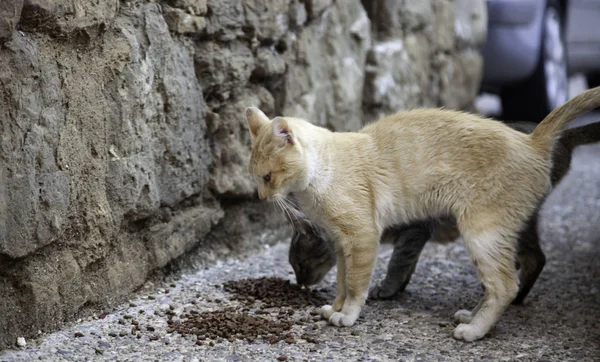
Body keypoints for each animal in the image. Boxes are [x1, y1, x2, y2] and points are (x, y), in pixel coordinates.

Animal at [244, 86, 600, 340]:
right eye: (255, 177)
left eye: (268, 177)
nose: (261, 197)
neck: (323, 171)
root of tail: (532, 140)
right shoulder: (342, 246)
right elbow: (343, 283)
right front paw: (334, 309)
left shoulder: (362, 239)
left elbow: (358, 285)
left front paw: (348, 315)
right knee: (498, 283)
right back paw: (471, 316)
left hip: (482, 234)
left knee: (505, 285)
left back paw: (474, 331)